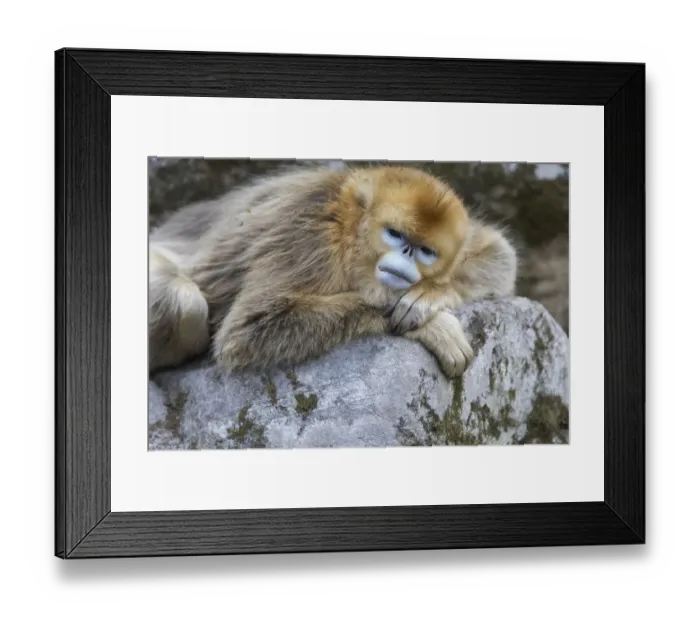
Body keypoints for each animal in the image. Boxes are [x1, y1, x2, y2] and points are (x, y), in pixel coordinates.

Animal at [148, 163, 517, 379]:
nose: (406, 256)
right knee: (182, 299)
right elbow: (248, 330)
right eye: (394, 234)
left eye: (426, 251)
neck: (348, 228)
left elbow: (503, 255)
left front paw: (426, 296)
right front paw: (434, 325)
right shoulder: (310, 231)